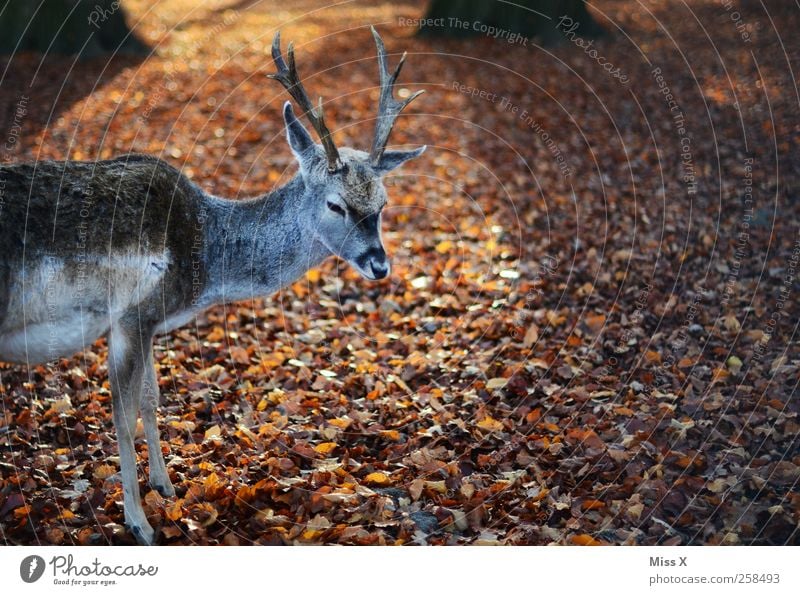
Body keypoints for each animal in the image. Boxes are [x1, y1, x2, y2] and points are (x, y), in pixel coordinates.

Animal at [0, 28, 424, 544]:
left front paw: (164, 487)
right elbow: (122, 414)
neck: (202, 257)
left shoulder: (148, 324)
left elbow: (150, 399)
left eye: (383, 203)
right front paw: (140, 523)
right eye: (335, 204)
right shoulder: (131, 315)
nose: (379, 265)